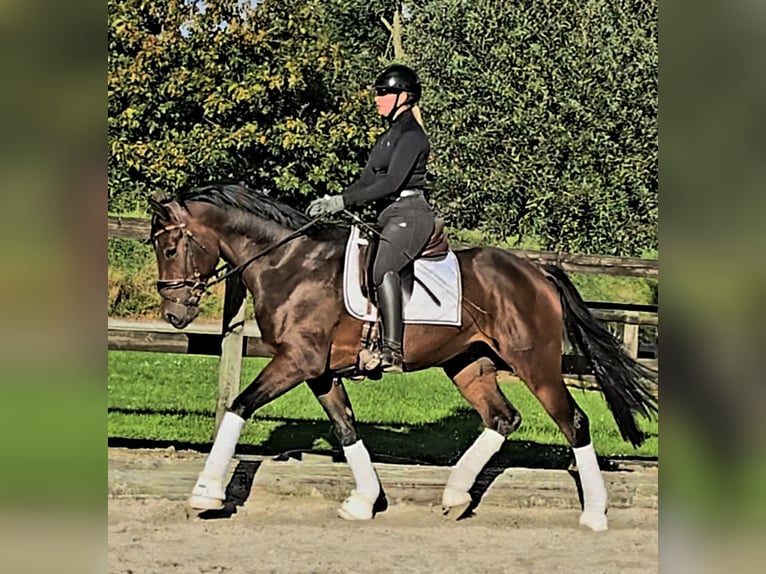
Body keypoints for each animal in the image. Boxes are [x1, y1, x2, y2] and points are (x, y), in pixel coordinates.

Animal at [150, 182, 660, 532]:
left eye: (171, 247)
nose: (175, 314)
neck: (290, 264)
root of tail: (537, 272)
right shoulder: (319, 370)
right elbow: (346, 429)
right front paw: (363, 501)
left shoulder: (296, 361)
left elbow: (239, 407)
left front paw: (206, 494)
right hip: (468, 364)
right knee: (502, 418)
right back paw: (455, 495)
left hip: (535, 364)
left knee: (573, 421)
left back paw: (594, 514)